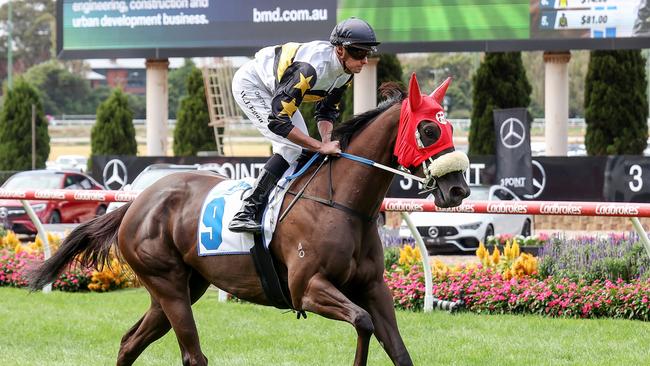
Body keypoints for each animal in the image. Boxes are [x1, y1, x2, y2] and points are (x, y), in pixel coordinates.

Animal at [27, 73, 468, 364]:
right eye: (429, 130)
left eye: (449, 128)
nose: (459, 189)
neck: (341, 204)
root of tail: (137, 203)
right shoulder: (307, 288)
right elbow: (362, 323)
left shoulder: (373, 288)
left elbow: (396, 347)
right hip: (167, 283)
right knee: (192, 355)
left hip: (182, 287)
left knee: (130, 341)